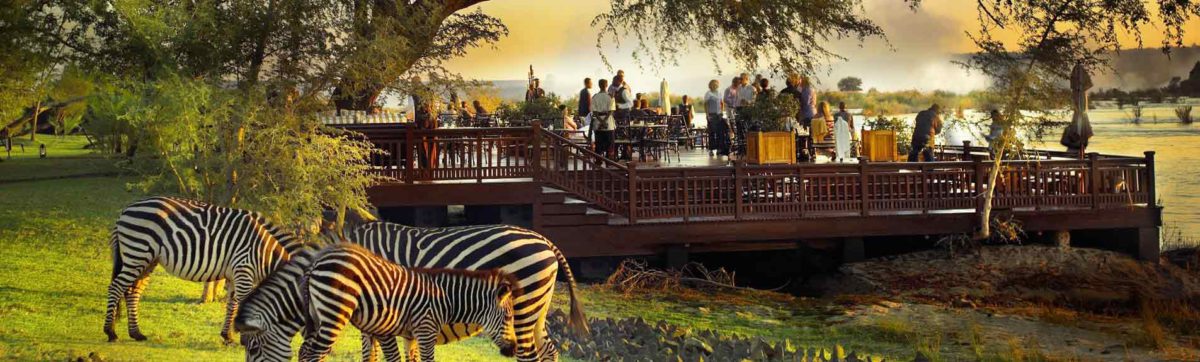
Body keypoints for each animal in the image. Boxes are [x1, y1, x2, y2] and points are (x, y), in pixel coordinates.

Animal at [105, 196, 300, 342]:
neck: (266, 253)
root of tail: (125, 210)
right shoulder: (244, 270)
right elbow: (242, 304)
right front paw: (244, 339)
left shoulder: (234, 275)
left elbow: (232, 304)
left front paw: (227, 336)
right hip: (137, 253)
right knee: (116, 288)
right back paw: (111, 333)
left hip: (147, 260)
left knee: (133, 292)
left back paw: (136, 333)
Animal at [232, 243, 516, 362]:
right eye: (508, 317)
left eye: (253, 349)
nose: (510, 350)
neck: (443, 297)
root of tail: (314, 266)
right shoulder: (421, 331)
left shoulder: (407, 333)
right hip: (333, 316)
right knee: (311, 354)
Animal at [340, 220, 588, 362]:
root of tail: (545, 240)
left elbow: (372, 356)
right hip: (538, 308)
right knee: (549, 351)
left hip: (522, 308)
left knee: (528, 355)